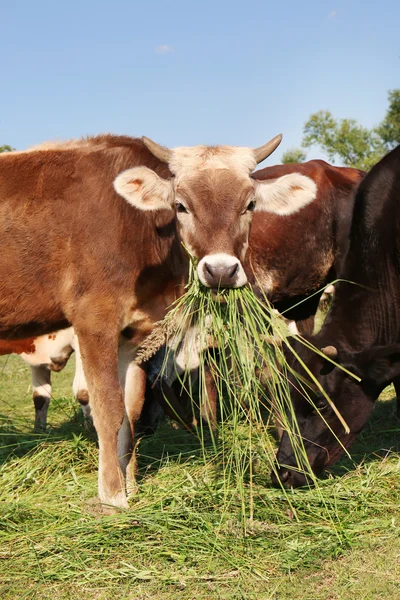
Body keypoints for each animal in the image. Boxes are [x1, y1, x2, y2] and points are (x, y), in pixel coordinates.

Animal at [0, 132, 318, 506]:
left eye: (250, 204)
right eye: (180, 205)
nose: (220, 271)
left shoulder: (135, 334)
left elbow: (130, 411)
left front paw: (132, 487)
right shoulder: (93, 320)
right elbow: (107, 408)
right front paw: (112, 497)